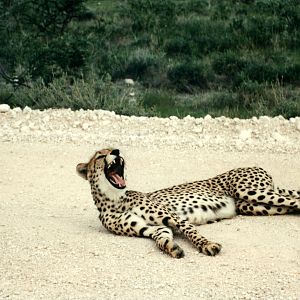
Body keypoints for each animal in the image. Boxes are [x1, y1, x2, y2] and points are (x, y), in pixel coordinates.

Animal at [77, 148, 300, 258]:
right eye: (100, 155)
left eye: (114, 148)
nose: (117, 150)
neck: (114, 199)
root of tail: (256, 167)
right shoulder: (152, 227)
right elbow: (161, 238)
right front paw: (172, 248)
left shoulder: (173, 217)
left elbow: (192, 232)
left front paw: (208, 245)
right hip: (254, 205)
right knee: (289, 204)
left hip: (252, 192)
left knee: (295, 199)